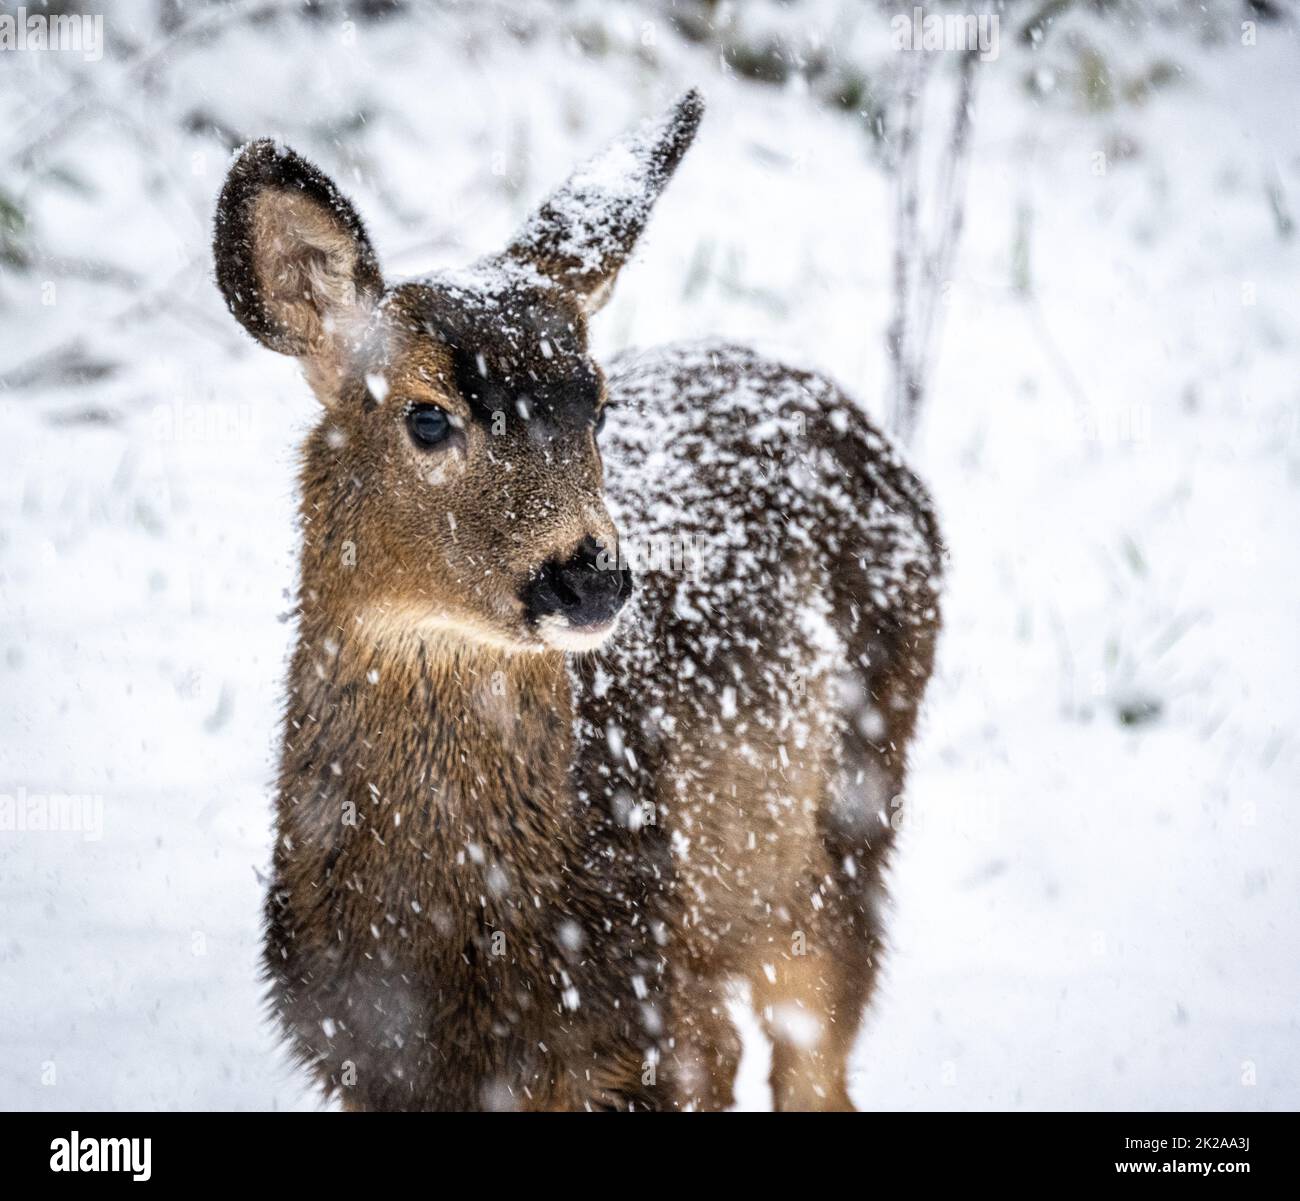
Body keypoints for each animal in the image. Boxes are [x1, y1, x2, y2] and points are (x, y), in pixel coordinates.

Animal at [215, 93, 946, 1117]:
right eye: (427, 414)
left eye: (597, 404)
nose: (591, 574)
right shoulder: (362, 1058)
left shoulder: (635, 1018)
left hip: (845, 825)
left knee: (810, 1052)